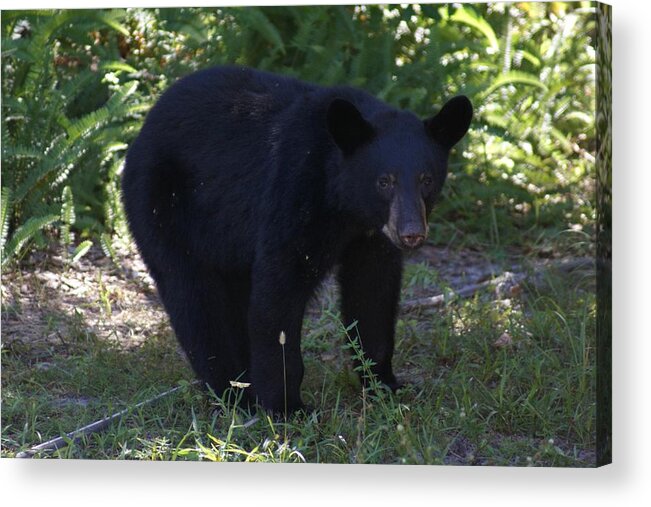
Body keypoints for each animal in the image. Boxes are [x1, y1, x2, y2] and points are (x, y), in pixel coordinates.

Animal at [119, 65, 472, 414]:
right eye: (384, 181)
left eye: (426, 179)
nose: (411, 232)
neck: (347, 207)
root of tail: (144, 129)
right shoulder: (295, 195)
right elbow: (279, 294)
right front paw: (286, 406)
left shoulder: (372, 239)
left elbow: (373, 296)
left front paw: (386, 386)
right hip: (164, 206)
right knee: (194, 297)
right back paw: (232, 392)